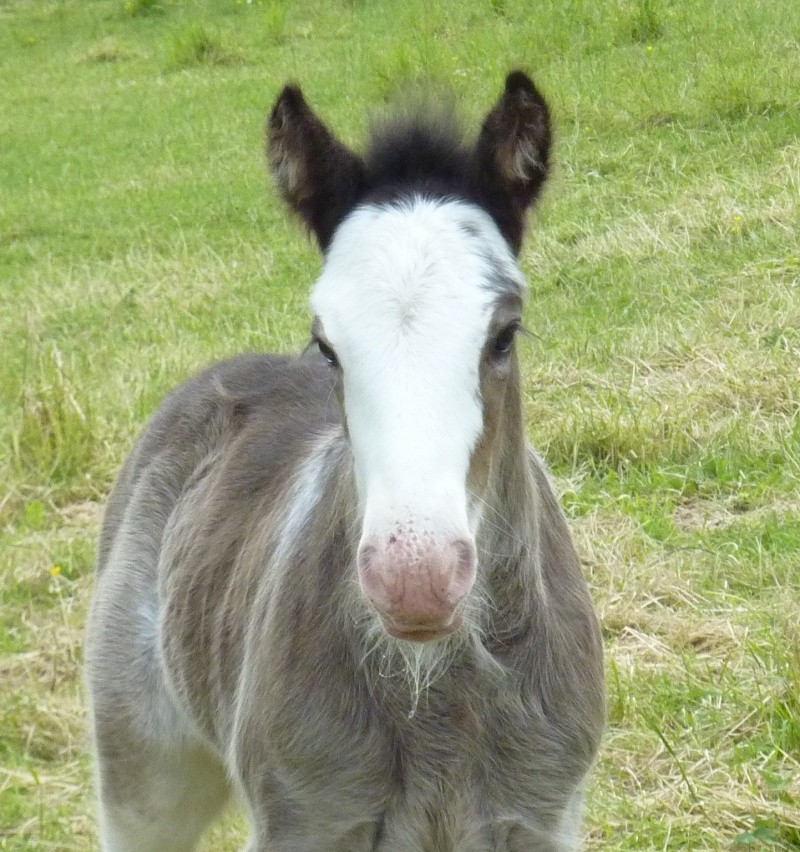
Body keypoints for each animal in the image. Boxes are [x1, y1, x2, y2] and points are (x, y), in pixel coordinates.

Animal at [86, 75, 600, 852]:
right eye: (327, 345)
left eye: (504, 334)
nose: (415, 580)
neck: (437, 697)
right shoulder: (307, 822)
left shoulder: (543, 817)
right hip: (142, 780)